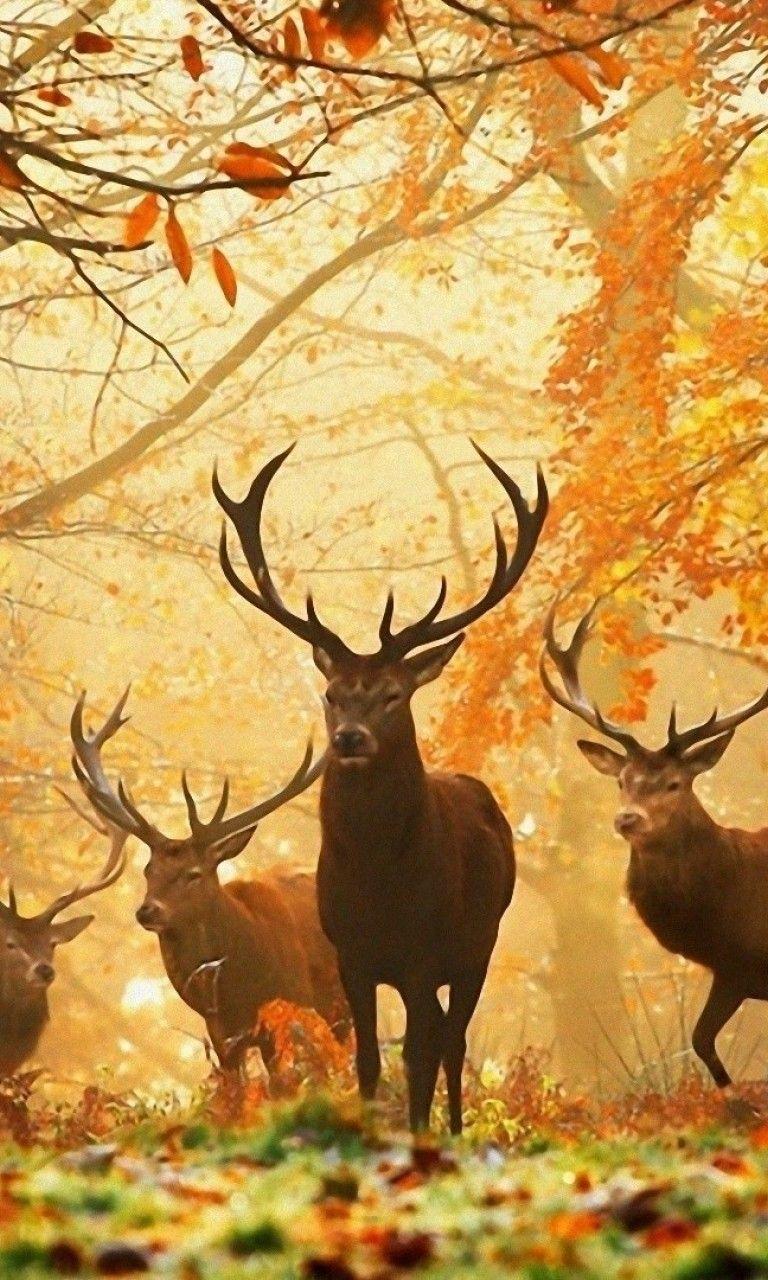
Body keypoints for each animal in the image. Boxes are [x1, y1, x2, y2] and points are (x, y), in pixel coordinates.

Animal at [213, 442, 548, 1132]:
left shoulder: (423, 953)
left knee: (453, 1040)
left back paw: (453, 1128)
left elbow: (418, 1055)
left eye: (394, 694)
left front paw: (418, 1134)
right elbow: (367, 1059)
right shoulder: (352, 955)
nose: (349, 739)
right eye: (333, 694)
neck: (378, 883)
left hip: (479, 943)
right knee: (443, 1036)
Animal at [540, 599, 768, 1091]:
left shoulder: (741, 966)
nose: (627, 817)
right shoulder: (732, 969)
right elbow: (701, 1041)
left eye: (674, 783)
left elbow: (704, 1041)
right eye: (622, 781)